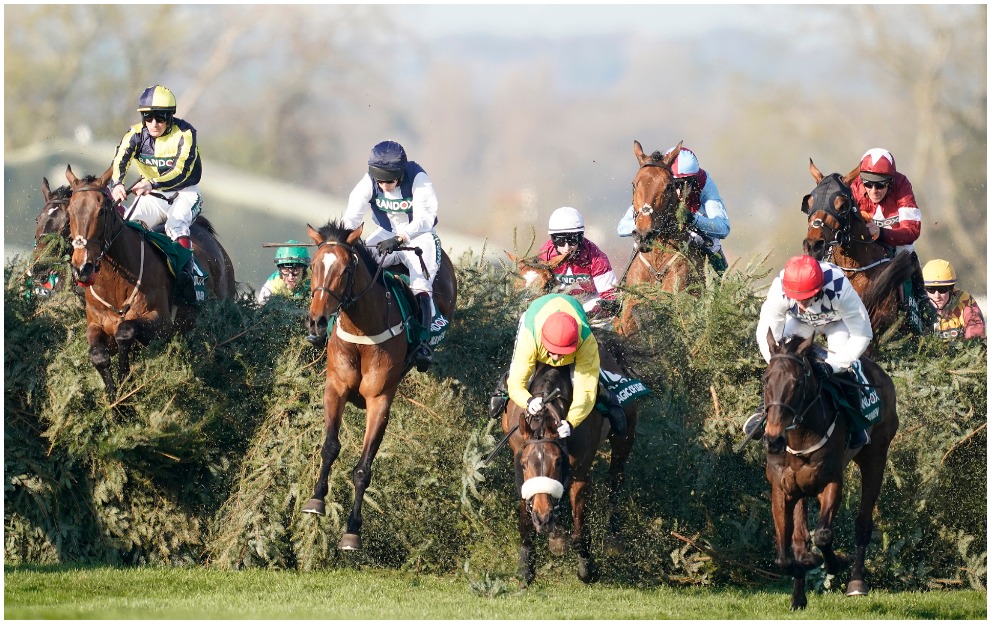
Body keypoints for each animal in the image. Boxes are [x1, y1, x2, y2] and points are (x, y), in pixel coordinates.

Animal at [64, 165, 238, 400]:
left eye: (102, 211)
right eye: (69, 211)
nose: (82, 267)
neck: (116, 284)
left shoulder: (162, 324)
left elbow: (125, 331)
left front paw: (125, 379)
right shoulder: (95, 324)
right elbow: (98, 355)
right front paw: (114, 397)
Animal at [300, 219, 460, 552]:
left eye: (346, 270)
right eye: (314, 265)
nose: (317, 321)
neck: (363, 330)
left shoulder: (380, 399)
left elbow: (363, 468)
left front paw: (352, 530)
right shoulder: (335, 388)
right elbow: (330, 446)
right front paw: (316, 499)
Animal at [760, 332, 900, 608]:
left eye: (797, 383)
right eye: (766, 380)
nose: (773, 440)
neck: (799, 440)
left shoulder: (831, 481)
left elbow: (823, 535)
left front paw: (837, 562)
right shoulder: (782, 489)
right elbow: (785, 557)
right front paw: (805, 566)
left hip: (876, 457)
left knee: (863, 524)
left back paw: (856, 582)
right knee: (800, 537)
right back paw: (799, 595)